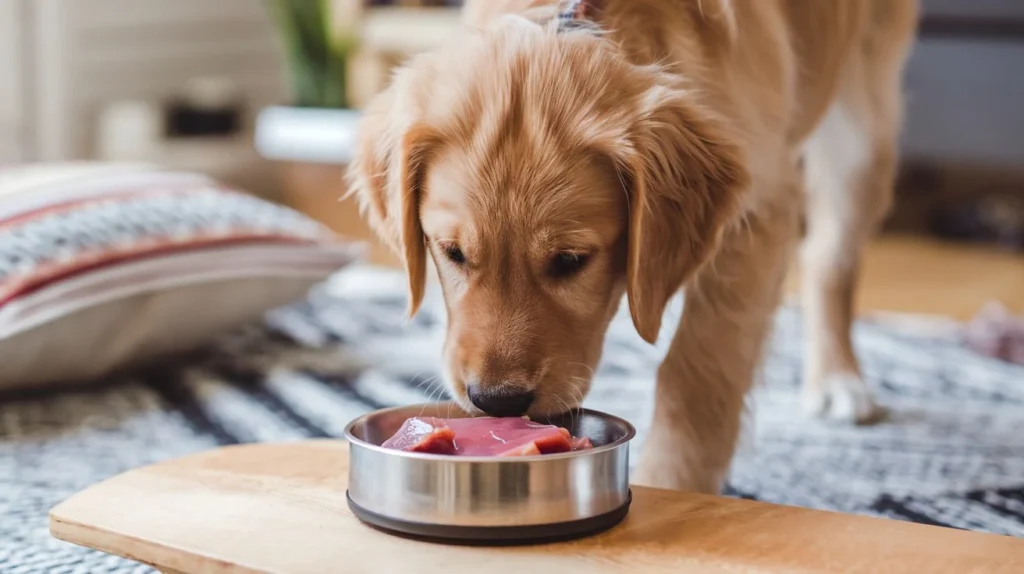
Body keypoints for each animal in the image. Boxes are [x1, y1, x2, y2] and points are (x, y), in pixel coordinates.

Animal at [350, 0, 921, 493]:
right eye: (452, 253)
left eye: (571, 261)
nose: (497, 402)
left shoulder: (758, 210)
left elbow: (696, 373)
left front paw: (674, 486)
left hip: (864, 123)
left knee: (830, 257)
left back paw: (839, 379)